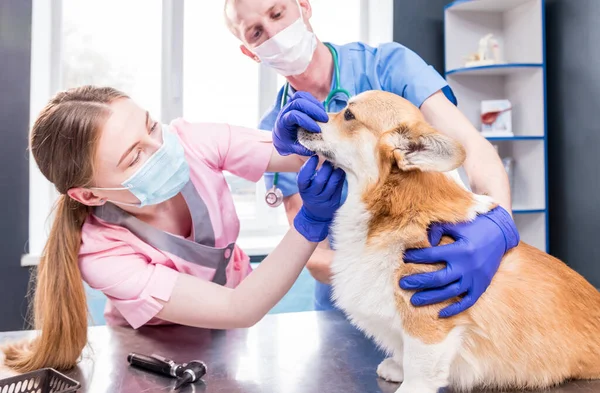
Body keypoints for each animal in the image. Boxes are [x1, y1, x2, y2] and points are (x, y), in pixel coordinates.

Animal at [298, 89, 600, 392]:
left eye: (348, 114)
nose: (296, 118)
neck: (397, 209)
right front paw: (396, 367)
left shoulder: (427, 321)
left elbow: (419, 365)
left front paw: (409, 384)